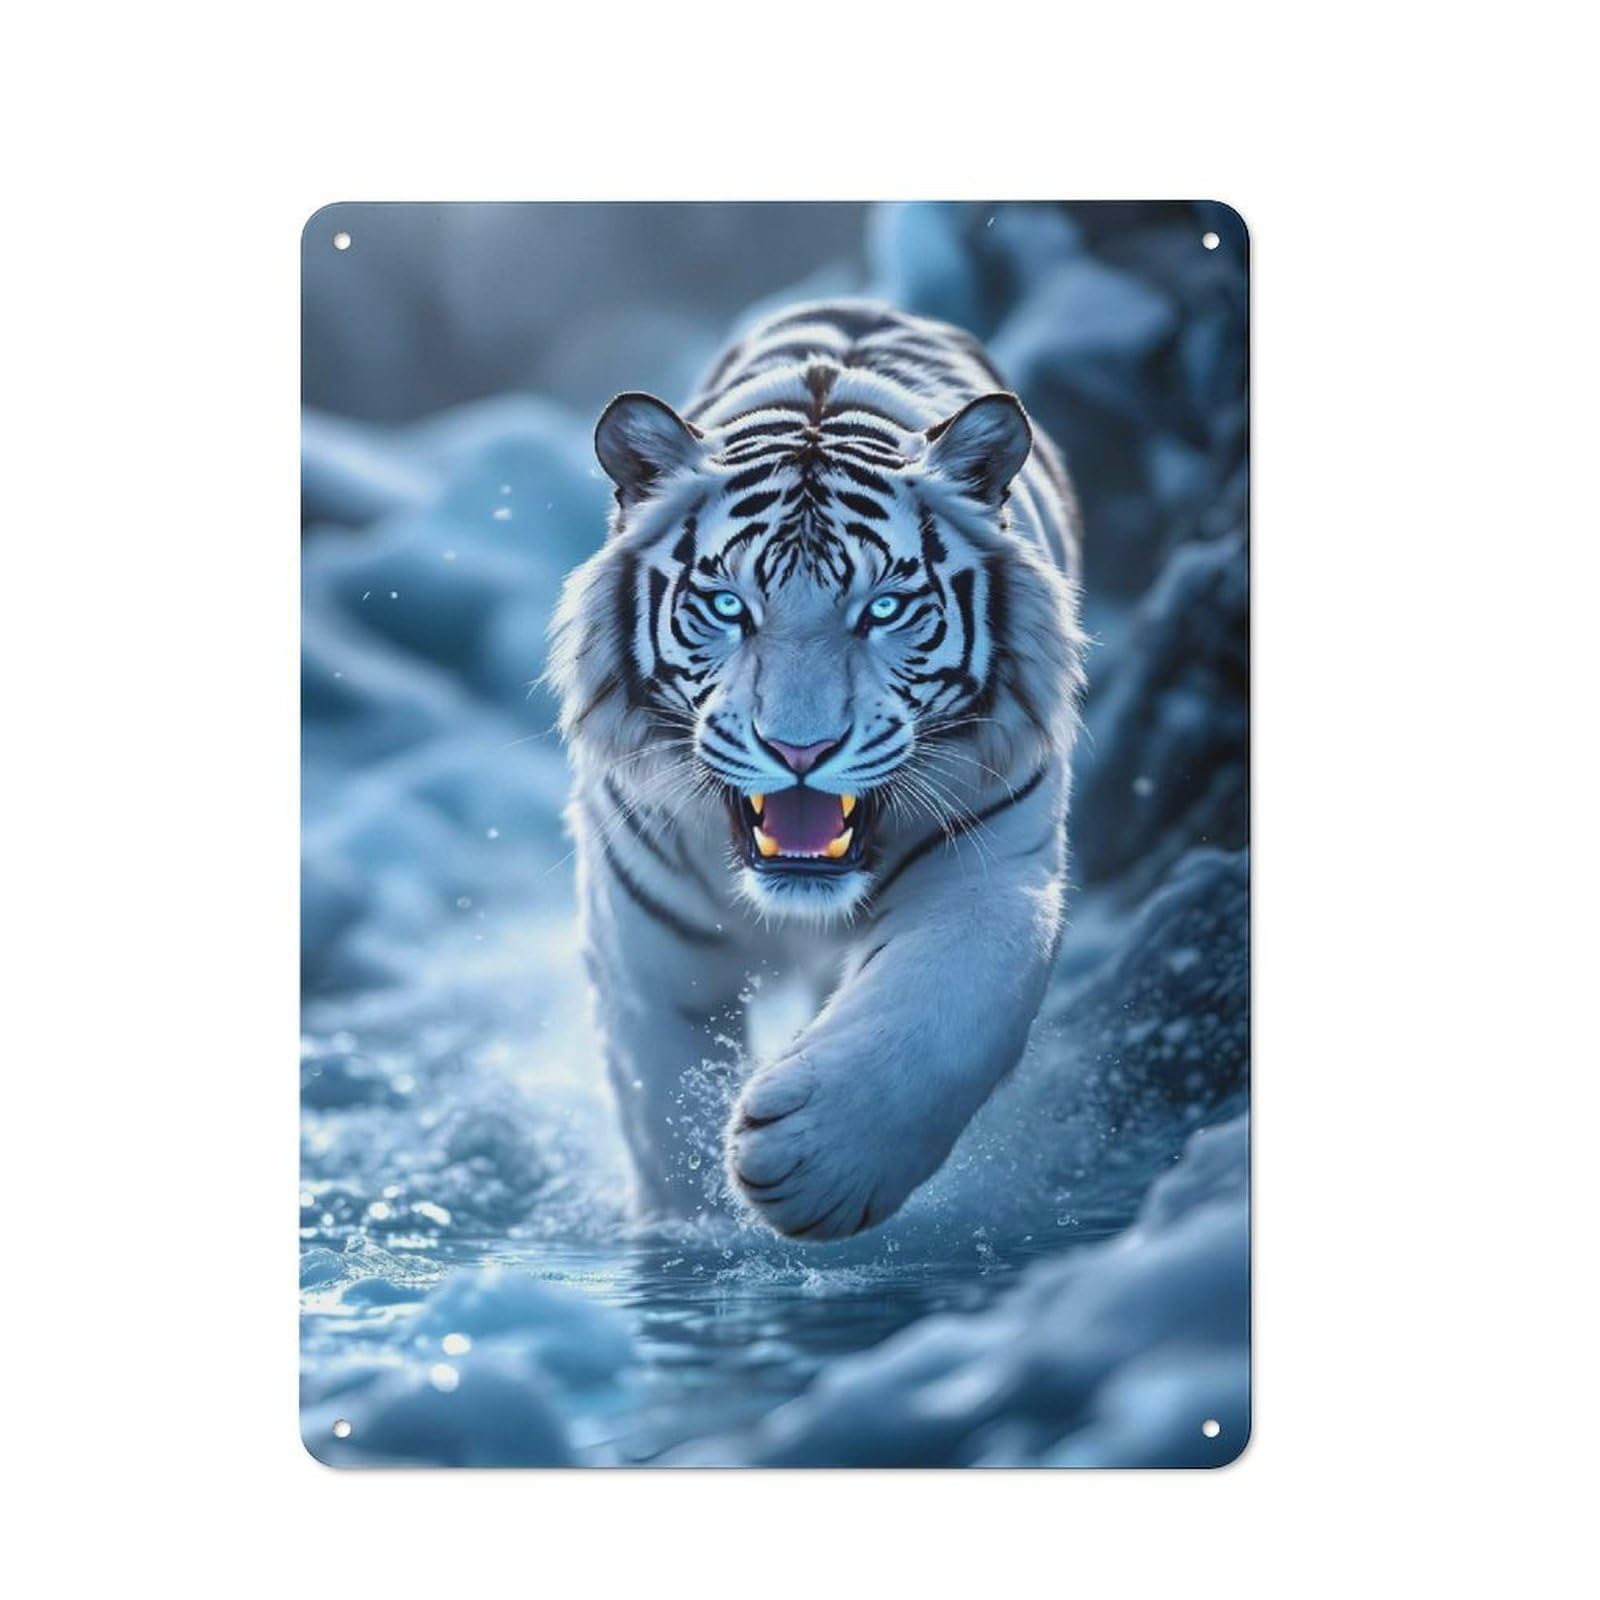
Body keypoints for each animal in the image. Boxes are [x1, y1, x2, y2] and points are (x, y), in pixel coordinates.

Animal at [549, 299, 1086, 1241]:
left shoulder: (993, 868)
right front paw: (690, 1233)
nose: (800, 750)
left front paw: (815, 1164)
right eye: (728, 605)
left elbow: (948, 1004)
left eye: (886, 608)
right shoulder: (645, 936)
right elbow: (662, 1111)